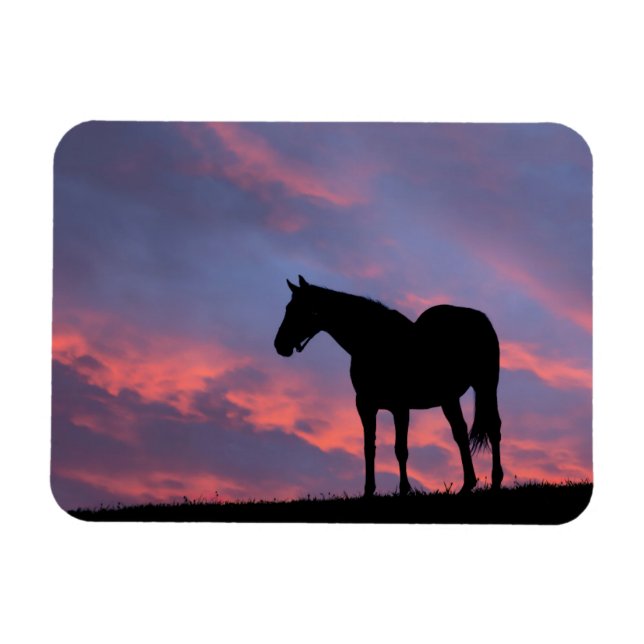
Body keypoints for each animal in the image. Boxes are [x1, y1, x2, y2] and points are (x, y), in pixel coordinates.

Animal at [274, 275, 503, 497]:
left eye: (300, 309)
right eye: (287, 308)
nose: (279, 345)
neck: (376, 342)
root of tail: (480, 318)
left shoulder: (400, 407)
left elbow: (400, 449)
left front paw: (404, 489)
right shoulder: (365, 405)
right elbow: (369, 447)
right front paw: (368, 491)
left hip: (486, 386)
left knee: (493, 428)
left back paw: (495, 483)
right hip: (449, 398)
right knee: (460, 432)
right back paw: (467, 485)